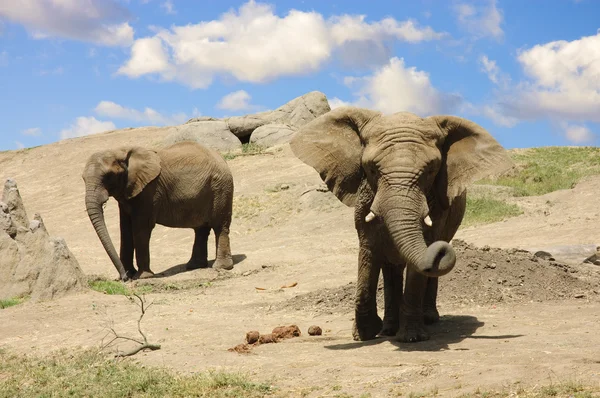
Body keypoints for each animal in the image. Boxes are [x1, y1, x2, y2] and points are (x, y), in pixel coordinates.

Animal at [82, 141, 234, 282]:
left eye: (108, 176)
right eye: (83, 178)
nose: (124, 278)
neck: (121, 151)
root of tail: (222, 159)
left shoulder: (149, 190)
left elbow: (141, 228)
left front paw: (143, 277)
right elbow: (125, 229)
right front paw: (130, 274)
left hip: (221, 188)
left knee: (220, 226)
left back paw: (222, 267)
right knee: (200, 229)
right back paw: (194, 266)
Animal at [290, 105, 510, 342]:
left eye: (431, 170)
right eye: (371, 169)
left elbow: (423, 252)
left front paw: (411, 338)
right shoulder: (364, 197)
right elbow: (368, 250)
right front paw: (365, 335)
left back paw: (427, 319)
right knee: (391, 267)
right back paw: (388, 329)